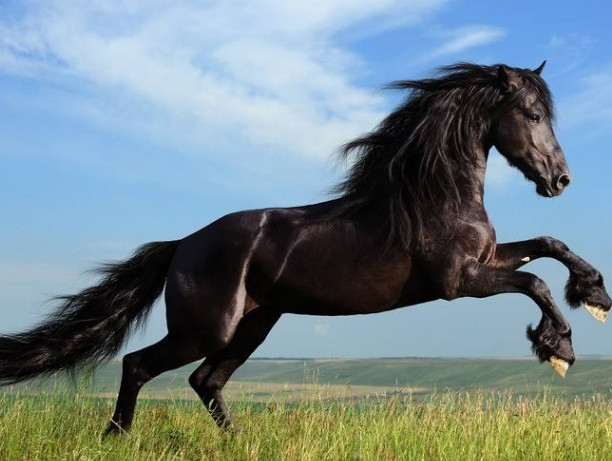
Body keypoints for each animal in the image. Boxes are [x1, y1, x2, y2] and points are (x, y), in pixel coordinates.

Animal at [1, 63, 612, 434]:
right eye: (533, 115)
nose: (560, 180)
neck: (434, 194)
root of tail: (182, 246)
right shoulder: (458, 281)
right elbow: (534, 280)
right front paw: (559, 348)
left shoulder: (485, 260)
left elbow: (548, 245)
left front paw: (595, 296)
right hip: (205, 329)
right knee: (138, 365)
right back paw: (116, 436)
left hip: (254, 324)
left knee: (206, 381)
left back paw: (236, 442)